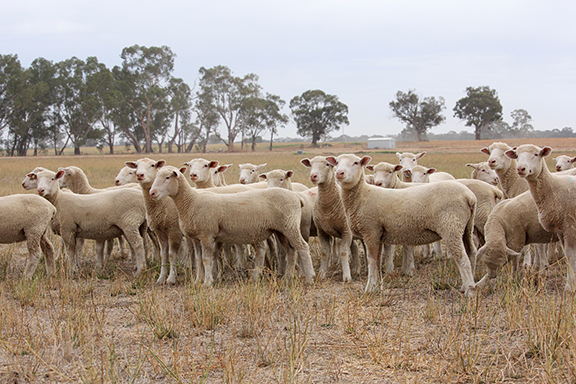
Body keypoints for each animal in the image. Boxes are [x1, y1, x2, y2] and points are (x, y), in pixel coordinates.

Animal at [148, 164, 316, 286]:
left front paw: (207, 283)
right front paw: (197, 281)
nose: (152, 193)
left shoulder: (207, 235)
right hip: (281, 229)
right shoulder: (196, 238)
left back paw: (309, 278)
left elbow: (206, 259)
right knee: (291, 251)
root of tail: (296, 197)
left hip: (290, 225)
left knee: (302, 247)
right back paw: (288, 277)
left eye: (167, 177)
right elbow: (199, 260)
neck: (191, 201)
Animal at [328, 153, 476, 294]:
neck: (362, 195)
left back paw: (469, 291)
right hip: (466, 228)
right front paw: (378, 288)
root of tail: (469, 196)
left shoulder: (370, 231)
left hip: (451, 226)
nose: (339, 173)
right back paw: (468, 286)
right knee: (471, 252)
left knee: (462, 258)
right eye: (337, 162)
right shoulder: (378, 235)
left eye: (356, 162)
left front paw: (369, 289)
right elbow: (378, 261)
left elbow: (371, 260)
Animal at [506, 144, 576, 292]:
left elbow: (571, 255)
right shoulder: (561, 230)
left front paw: (570, 287)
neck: (553, 189)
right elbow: (567, 255)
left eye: (536, 154)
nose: (521, 168)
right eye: (517, 155)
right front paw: (570, 284)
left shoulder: (570, 227)